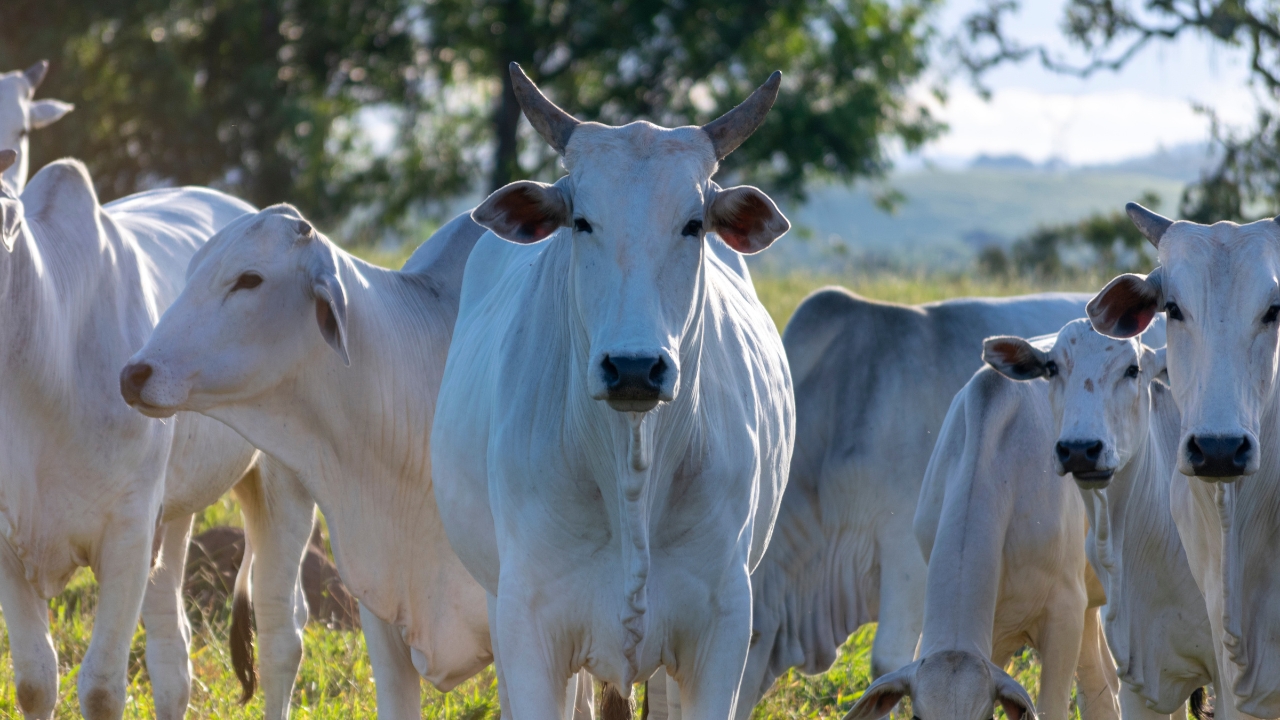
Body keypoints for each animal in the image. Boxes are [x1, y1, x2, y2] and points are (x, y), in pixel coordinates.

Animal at [0, 151, 277, 720]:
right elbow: (35, 682)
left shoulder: (127, 530)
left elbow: (102, 690)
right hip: (172, 516)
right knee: (173, 649)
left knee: (284, 632)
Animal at [430, 64, 795, 720]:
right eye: (582, 222)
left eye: (693, 225)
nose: (633, 367)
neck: (630, 468)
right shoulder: (530, 627)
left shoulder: (722, 627)